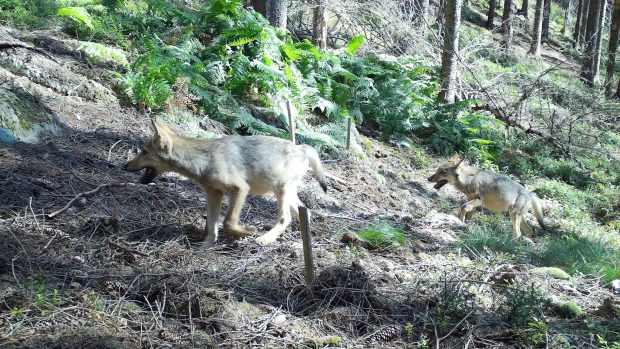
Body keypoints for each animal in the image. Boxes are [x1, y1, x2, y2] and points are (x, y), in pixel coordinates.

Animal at [122, 118, 330, 246]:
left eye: (144, 152)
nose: (124, 166)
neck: (203, 160)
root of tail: (302, 147)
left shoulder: (239, 189)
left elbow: (228, 222)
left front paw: (247, 231)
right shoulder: (214, 194)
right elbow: (212, 226)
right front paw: (205, 246)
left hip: (281, 190)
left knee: (285, 217)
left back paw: (265, 239)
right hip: (286, 193)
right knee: (304, 212)